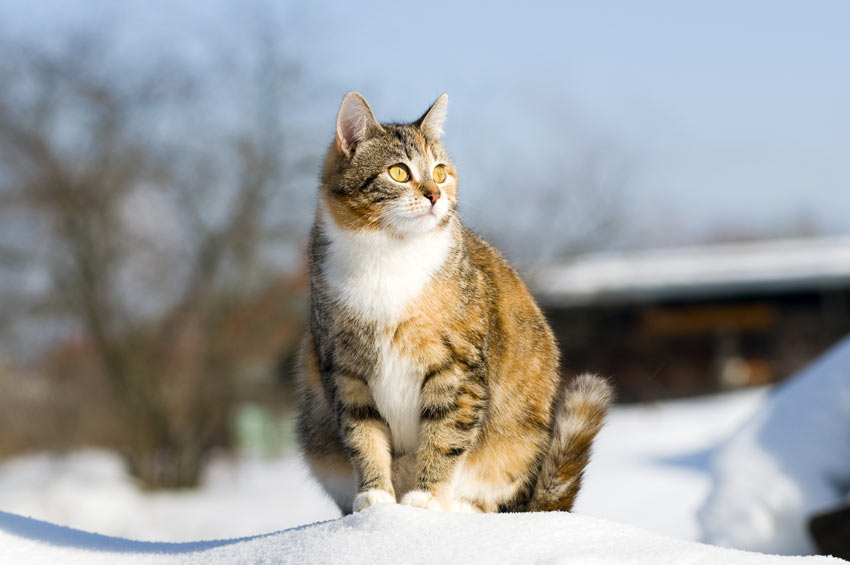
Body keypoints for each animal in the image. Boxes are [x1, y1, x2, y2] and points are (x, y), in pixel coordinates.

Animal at [294, 91, 608, 512]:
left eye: (441, 172)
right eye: (399, 172)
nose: (435, 194)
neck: (388, 254)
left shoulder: (457, 365)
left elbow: (445, 434)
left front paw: (427, 497)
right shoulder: (343, 368)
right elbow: (363, 435)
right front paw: (376, 497)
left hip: (518, 443)